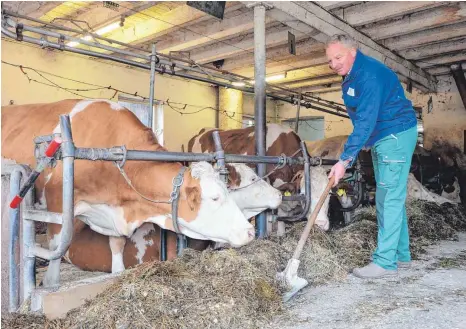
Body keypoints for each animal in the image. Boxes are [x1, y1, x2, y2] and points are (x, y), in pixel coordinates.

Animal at [1, 98, 255, 282]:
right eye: (215, 198)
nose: (251, 232)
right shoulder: (58, 207)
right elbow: (55, 249)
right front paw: (50, 283)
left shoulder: (115, 212)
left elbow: (117, 246)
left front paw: (117, 273)